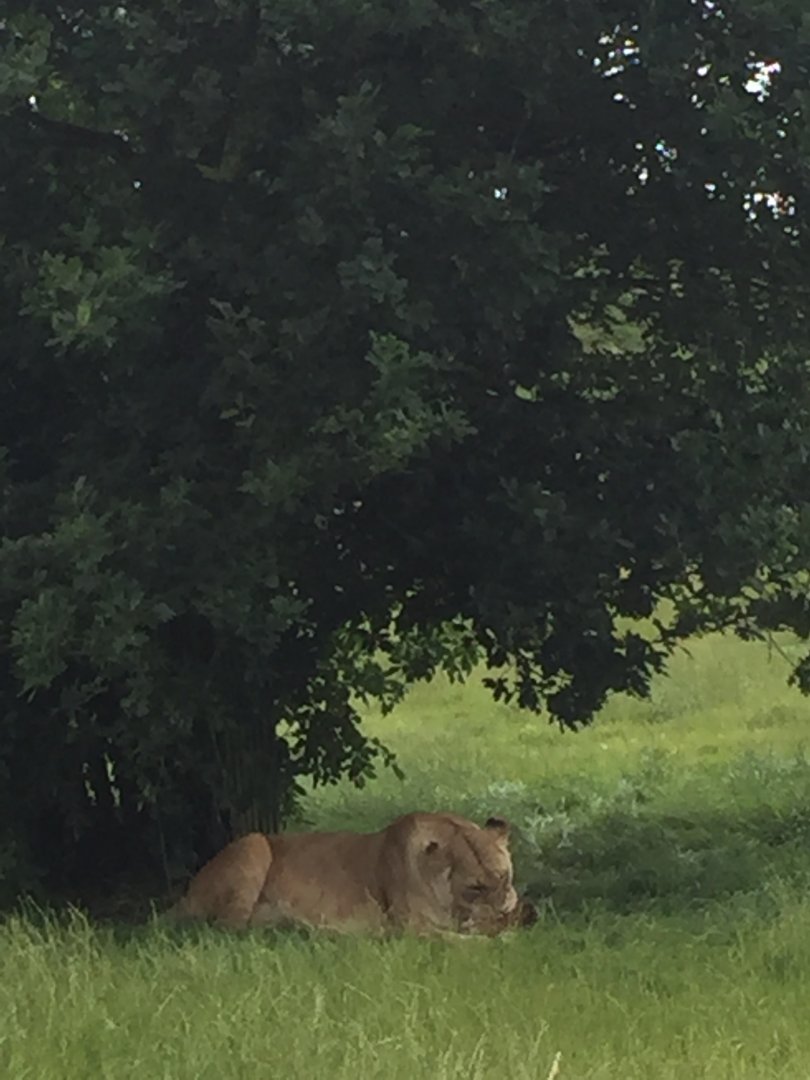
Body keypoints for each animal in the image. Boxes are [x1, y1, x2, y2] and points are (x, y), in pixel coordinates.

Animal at [167, 810, 531, 937]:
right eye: (475, 887)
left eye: (504, 877)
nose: (502, 909)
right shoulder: (411, 927)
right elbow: (458, 941)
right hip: (253, 844)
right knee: (226, 931)